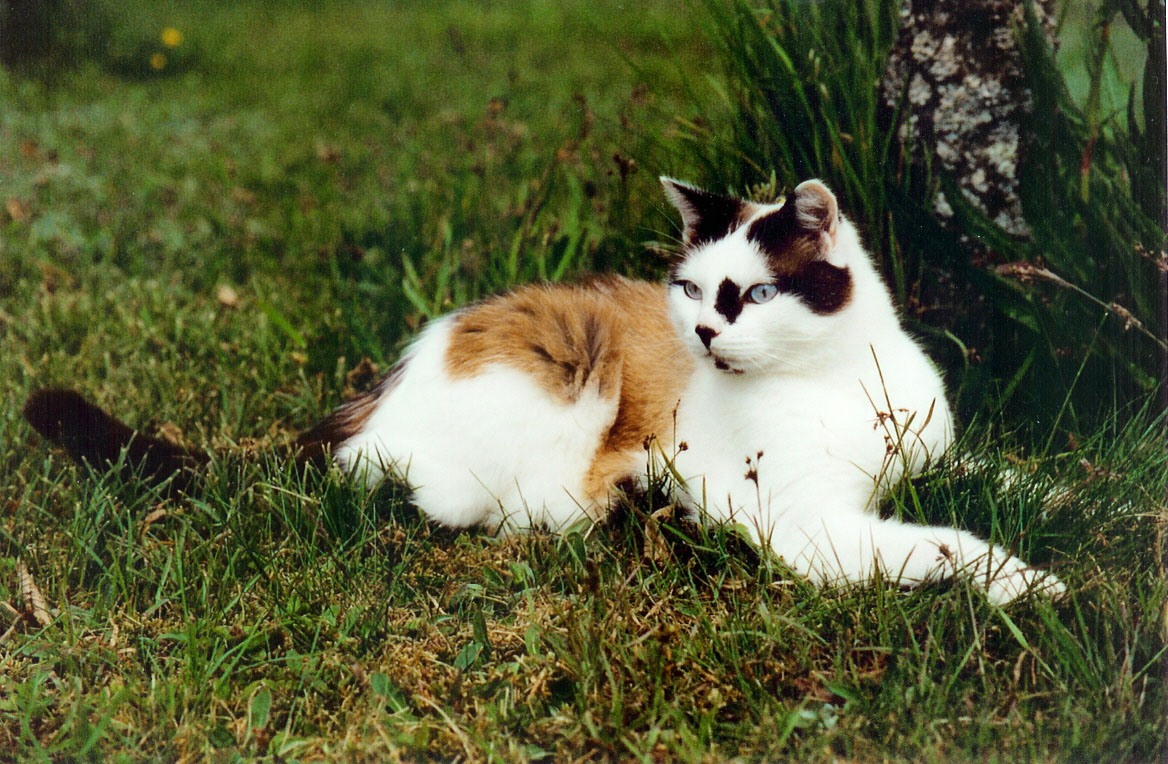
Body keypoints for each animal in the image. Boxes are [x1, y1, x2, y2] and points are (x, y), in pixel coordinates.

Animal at [25, 177, 1069, 602]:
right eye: (694, 289)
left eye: (755, 294)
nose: (701, 333)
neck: (843, 379)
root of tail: (372, 399)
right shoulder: (808, 525)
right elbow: (942, 544)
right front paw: (1029, 582)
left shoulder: (937, 454)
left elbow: (1010, 476)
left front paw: (1074, 499)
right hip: (570, 371)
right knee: (478, 506)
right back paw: (628, 505)